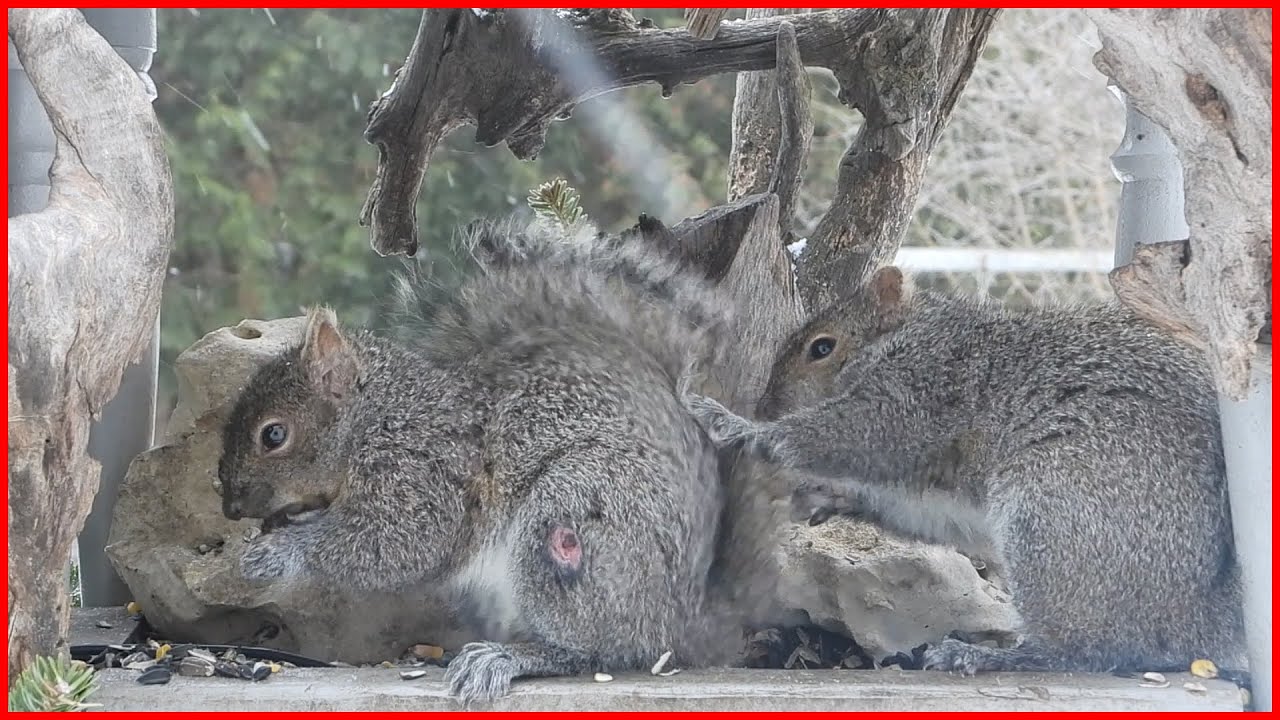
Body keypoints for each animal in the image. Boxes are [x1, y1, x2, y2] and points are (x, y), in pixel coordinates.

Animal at [216, 217, 785, 703]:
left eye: (273, 435)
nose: (231, 506)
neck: (378, 415)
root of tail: (683, 618)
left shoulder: (425, 472)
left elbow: (392, 545)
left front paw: (276, 552)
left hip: (573, 515)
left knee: (596, 651)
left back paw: (509, 658)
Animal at [681, 264, 1246, 675]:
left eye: (822, 347)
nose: (767, 403)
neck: (906, 337)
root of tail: (1203, 620)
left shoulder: (914, 395)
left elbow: (842, 435)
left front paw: (733, 424)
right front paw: (827, 497)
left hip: (1057, 505)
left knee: (1086, 650)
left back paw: (984, 655)